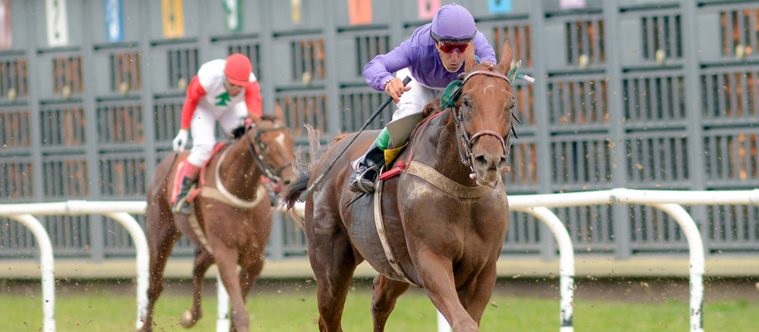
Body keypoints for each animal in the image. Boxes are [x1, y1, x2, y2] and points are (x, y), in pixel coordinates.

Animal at [141, 115, 296, 332]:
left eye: (290, 141)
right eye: (264, 145)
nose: (290, 180)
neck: (240, 190)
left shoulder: (254, 257)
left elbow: (238, 305)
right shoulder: (225, 252)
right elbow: (240, 312)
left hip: (206, 243)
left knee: (198, 265)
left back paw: (191, 316)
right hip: (161, 233)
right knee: (154, 287)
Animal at [284, 42, 516, 330]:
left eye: (510, 104)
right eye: (467, 101)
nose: (489, 159)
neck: (462, 189)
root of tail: (326, 158)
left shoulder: (483, 271)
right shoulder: (431, 260)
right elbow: (463, 323)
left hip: (394, 265)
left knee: (379, 299)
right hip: (330, 266)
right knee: (330, 318)